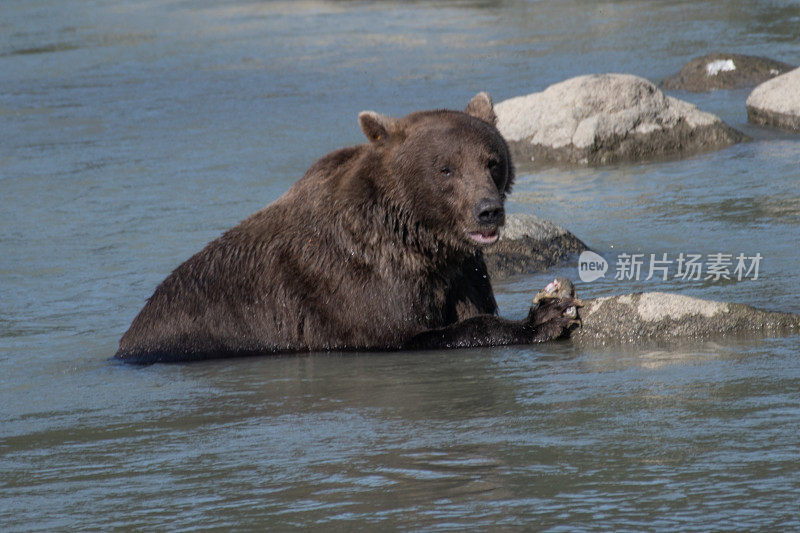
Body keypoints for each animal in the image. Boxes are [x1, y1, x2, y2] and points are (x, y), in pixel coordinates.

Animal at [115, 93, 580, 364]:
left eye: (492, 161)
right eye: (446, 168)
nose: (488, 211)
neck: (422, 238)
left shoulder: (461, 269)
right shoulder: (353, 279)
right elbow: (410, 332)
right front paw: (547, 317)